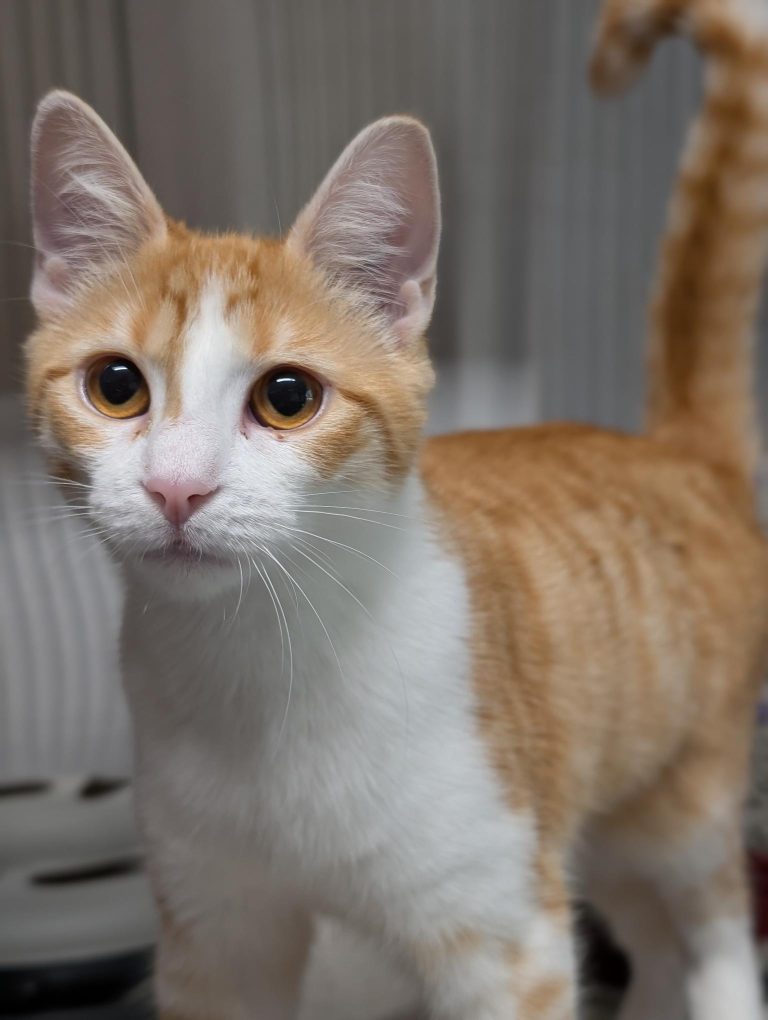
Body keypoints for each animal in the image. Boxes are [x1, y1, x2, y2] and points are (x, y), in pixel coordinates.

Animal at [23, 0, 768, 1017]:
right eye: (116, 386)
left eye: (288, 397)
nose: (177, 486)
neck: (260, 667)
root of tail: (676, 448)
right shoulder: (215, 932)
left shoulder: (504, 929)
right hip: (603, 811)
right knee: (651, 940)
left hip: (684, 797)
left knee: (715, 923)